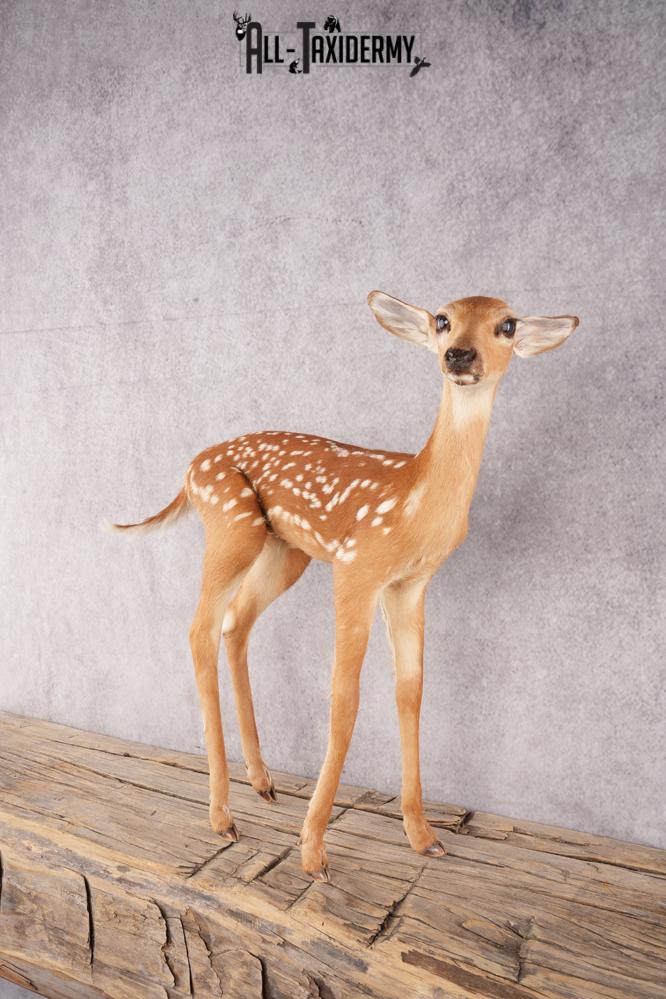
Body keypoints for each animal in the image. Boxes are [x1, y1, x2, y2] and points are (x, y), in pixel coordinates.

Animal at [108, 292, 579, 882]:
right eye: (442, 319)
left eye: (508, 325)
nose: (459, 355)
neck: (415, 503)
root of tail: (190, 469)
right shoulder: (356, 567)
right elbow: (345, 697)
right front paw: (313, 851)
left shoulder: (410, 584)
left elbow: (410, 691)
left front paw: (423, 836)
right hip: (231, 524)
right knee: (200, 629)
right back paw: (222, 817)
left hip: (285, 550)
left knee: (235, 623)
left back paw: (262, 783)